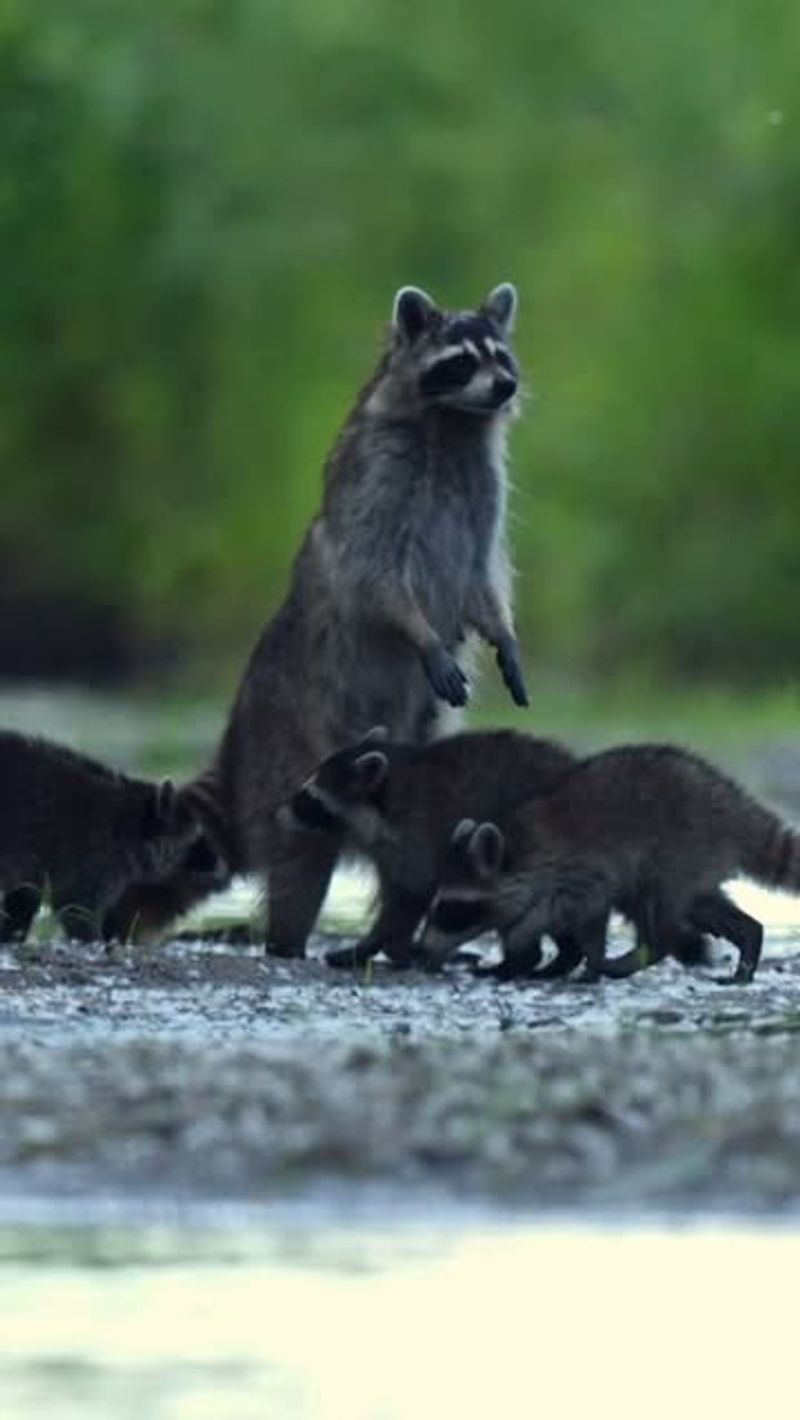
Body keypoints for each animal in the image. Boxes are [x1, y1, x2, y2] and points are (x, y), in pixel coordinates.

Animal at [205, 281, 529, 957]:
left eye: (502, 357)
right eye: (462, 360)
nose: (506, 387)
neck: (453, 421)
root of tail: (234, 751)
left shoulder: (486, 490)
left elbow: (483, 577)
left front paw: (504, 634)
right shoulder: (375, 479)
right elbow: (372, 574)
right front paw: (421, 634)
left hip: (411, 749)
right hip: (289, 758)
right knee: (299, 854)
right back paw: (289, 939)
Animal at [280, 727, 581, 971]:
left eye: (309, 797)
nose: (278, 813)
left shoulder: (417, 837)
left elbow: (409, 898)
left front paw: (374, 946)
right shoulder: (389, 852)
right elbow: (398, 894)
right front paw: (396, 949)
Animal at [421, 744, 793, 984]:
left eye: (449, 909)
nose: (420, 950)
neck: (517, 850)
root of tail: (728, 803)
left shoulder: (580, 870)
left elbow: (571, 909)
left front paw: (527, 948)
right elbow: (583, 922)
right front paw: (546, 961)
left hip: (678, 851)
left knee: (661, 914)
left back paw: (644, 951)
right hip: (694, 865)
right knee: (703, 906)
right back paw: (748, 939)